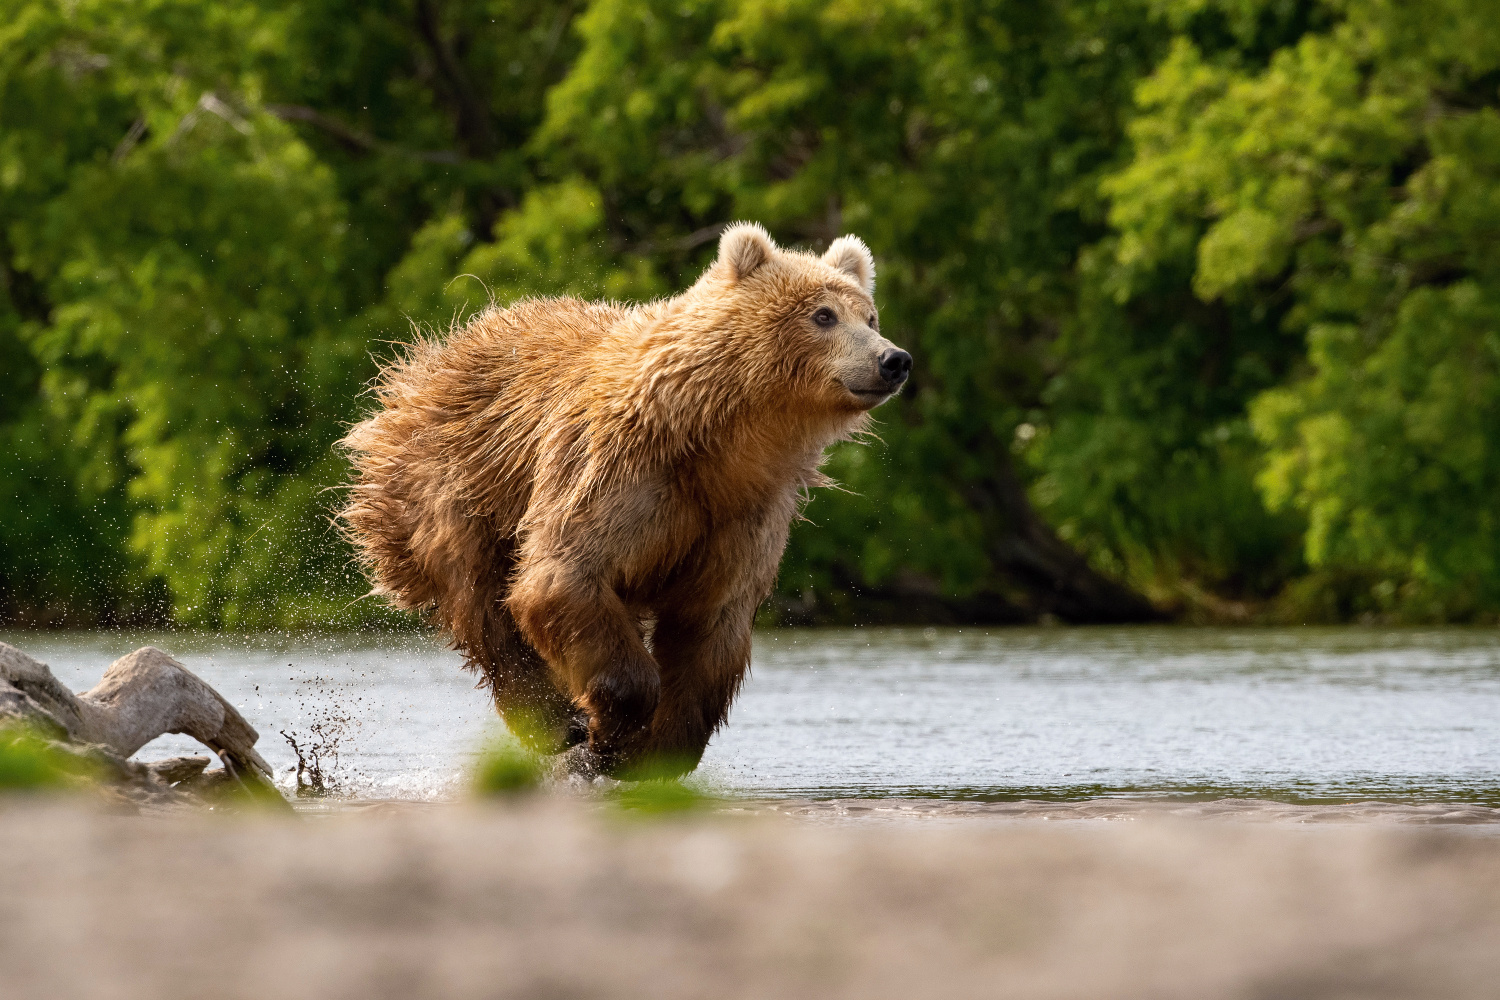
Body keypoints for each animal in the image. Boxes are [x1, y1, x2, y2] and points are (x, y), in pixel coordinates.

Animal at [339, 223, 906, 779]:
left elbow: (710, 625)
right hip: (457, 488)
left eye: (870, 316)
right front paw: (609, 734)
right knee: (482, 603)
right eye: (823, 315)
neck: (720, 441)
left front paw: (654, 747)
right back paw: (554, 722)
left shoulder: (743, 514)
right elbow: (562, 578)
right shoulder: (616, 472)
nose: (893, 359)